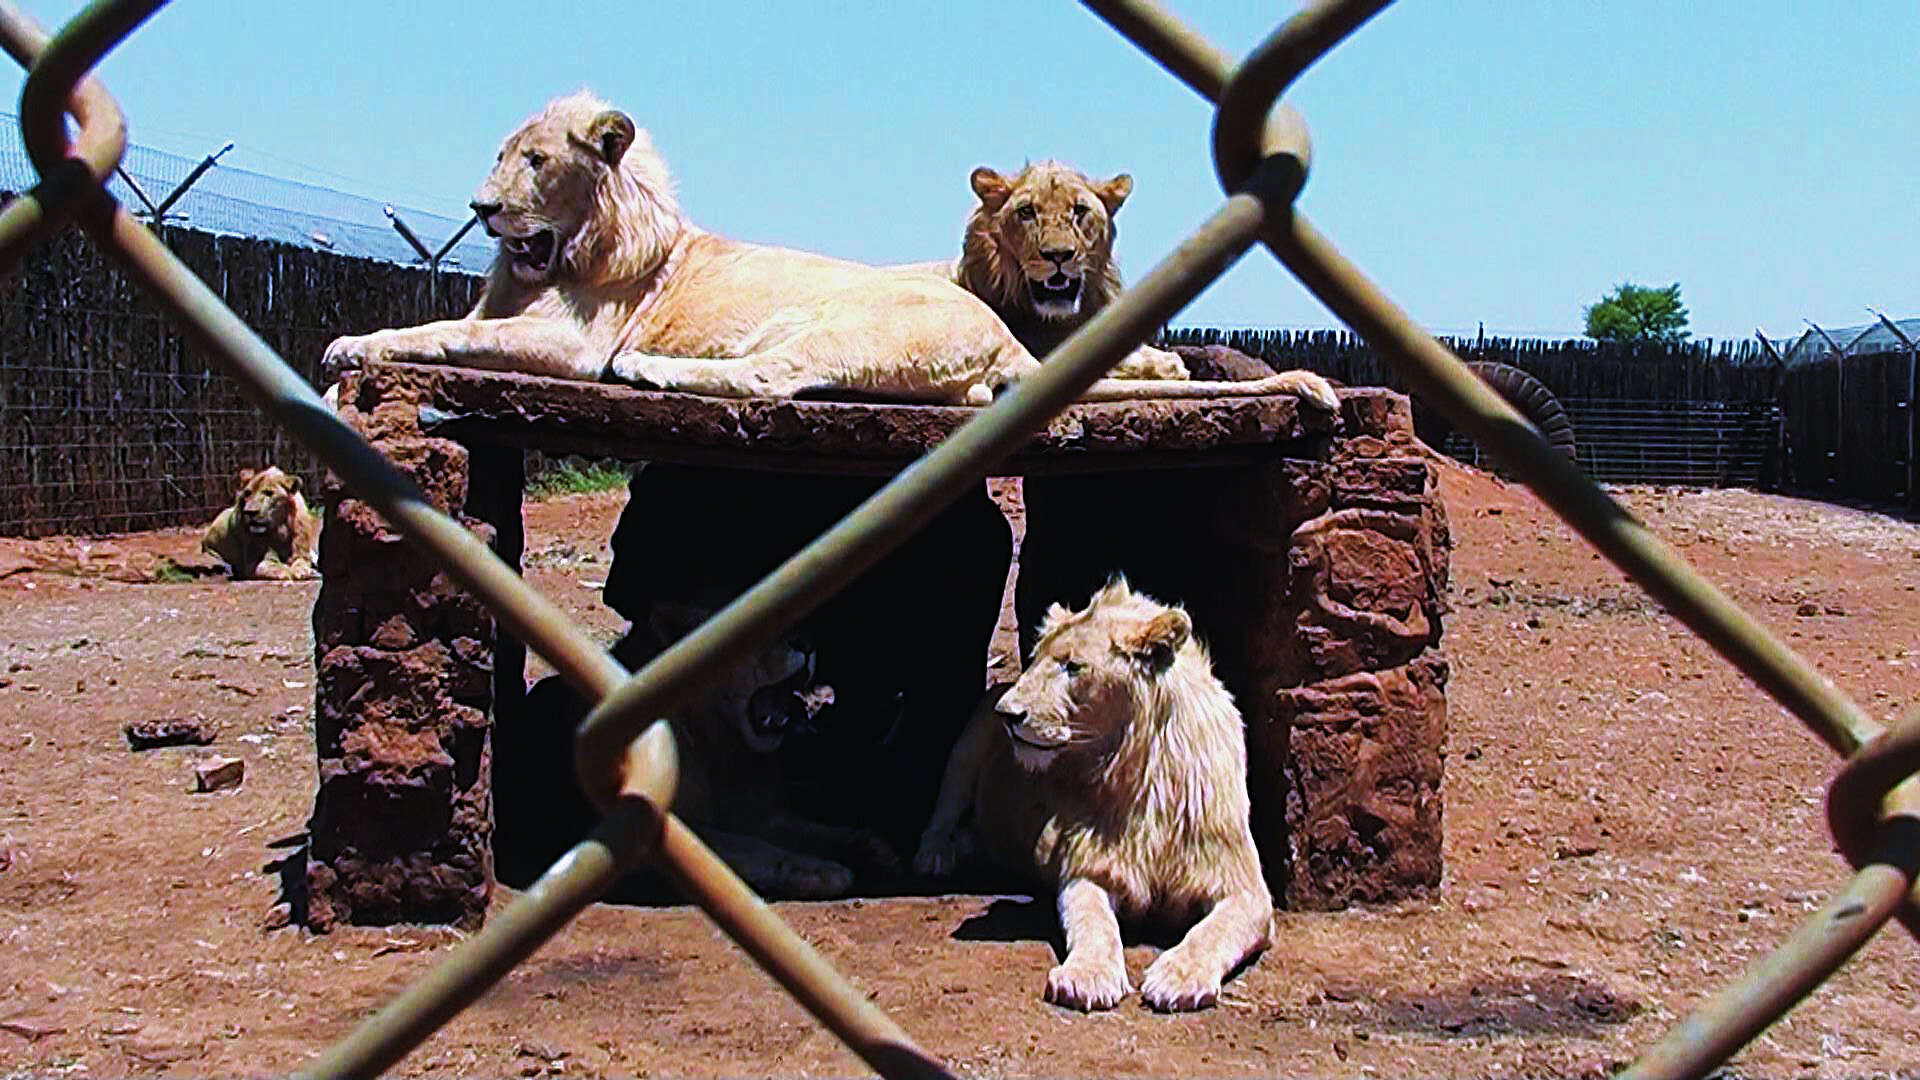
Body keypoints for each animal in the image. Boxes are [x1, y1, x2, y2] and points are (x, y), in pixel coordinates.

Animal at [314, 90, 1336, 409]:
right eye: (498, 155)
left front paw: (352, 348)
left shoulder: (573, 343)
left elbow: (444, 334)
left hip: (834, 322)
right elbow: (444, 322)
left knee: (771, 381)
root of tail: (1003, 340)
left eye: (535, 159)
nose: (481, 207)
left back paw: (649, 370)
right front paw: (352, 355)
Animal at [913, 580, 1274, 1006]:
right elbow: (1093, 922)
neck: (1140, 770)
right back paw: (935, 855)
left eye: (1073, 666)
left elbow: (1212, 932)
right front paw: (1087, 976)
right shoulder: (1088, 867)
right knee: (943, 812)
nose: (1007, 714)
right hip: (964, 751)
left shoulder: (1245, 888)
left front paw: (1179, 977)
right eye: (1035, 660)